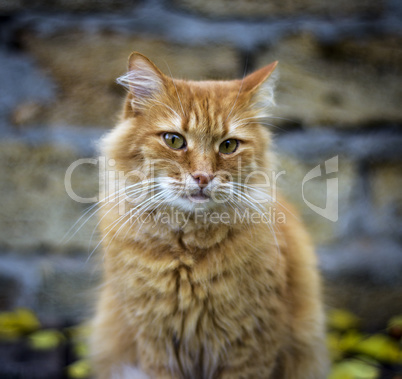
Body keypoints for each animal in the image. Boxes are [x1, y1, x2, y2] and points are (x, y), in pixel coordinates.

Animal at [91, 52, 330, 378]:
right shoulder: (156, 344)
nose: (203, 177)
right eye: (174, 140)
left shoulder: (252, 344)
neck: (188, 253)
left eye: (228, 145)